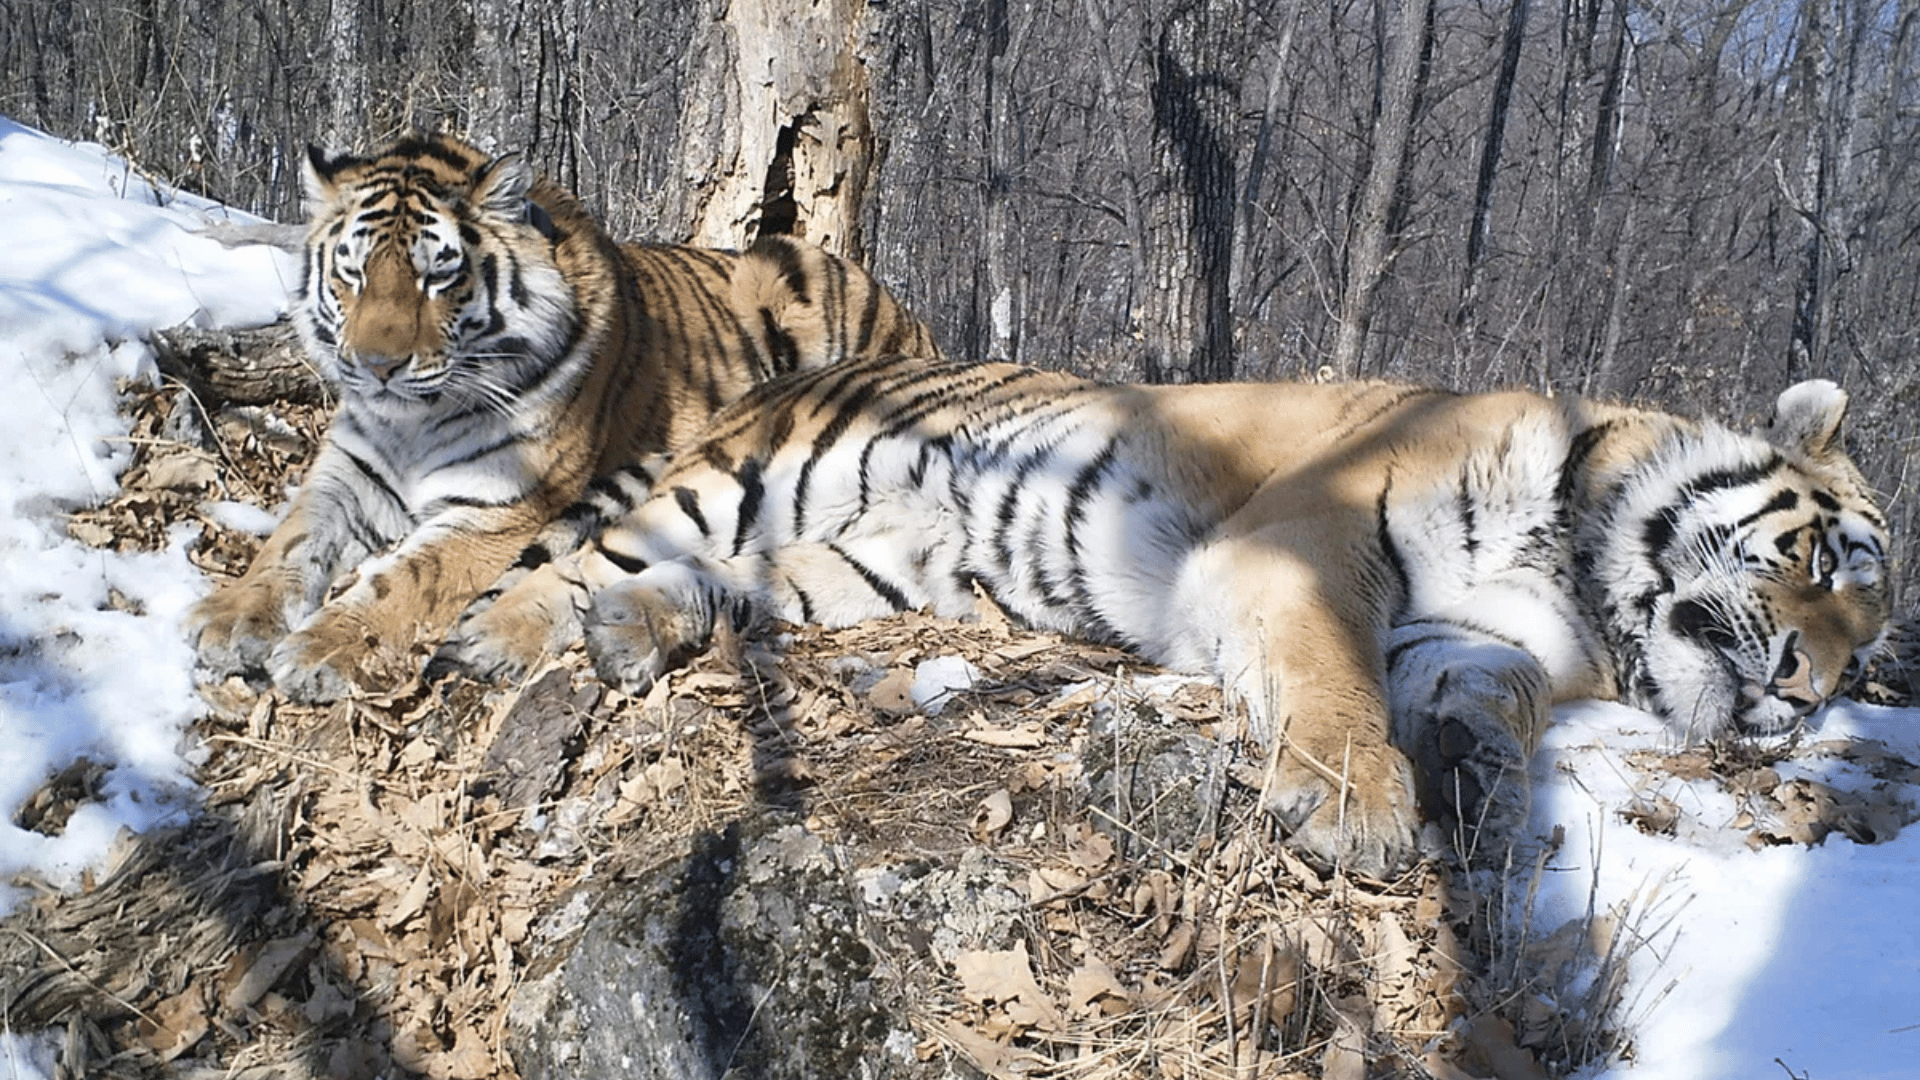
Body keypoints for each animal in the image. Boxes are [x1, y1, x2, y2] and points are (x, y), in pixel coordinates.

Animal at [187, 130, 936, 703]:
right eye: (354, 272)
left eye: (437, 275)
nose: (376, 365)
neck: (413, 422)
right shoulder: (347, 474)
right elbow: (289, 542)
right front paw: (229, 619)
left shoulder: (497, 510)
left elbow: (403, 581)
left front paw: (318, 648)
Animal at [435, 353, 1889, 876]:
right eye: (1826, 563)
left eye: (1873, 644)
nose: (1813, 691)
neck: (1577, 572)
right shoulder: (1306, 542)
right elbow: (1332, 679)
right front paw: (1357, 809)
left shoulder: (1473, 637)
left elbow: (1496, 698)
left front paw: (1476, 778)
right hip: (750, 478)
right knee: (577, 556)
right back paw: (499, 640)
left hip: (863, 569)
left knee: (715, 588)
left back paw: (637, 631)